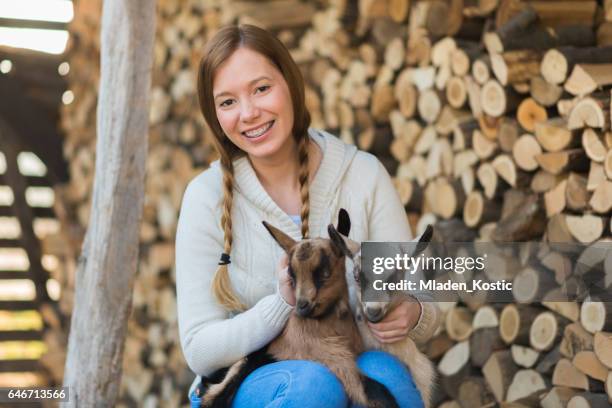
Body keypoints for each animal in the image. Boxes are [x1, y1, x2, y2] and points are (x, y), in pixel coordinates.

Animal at [201, 220, 400, 408]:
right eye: (292, 274)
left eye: (324, 273)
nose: (301, 307)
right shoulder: (331, 358)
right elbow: (373, 390)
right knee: (211, 397)